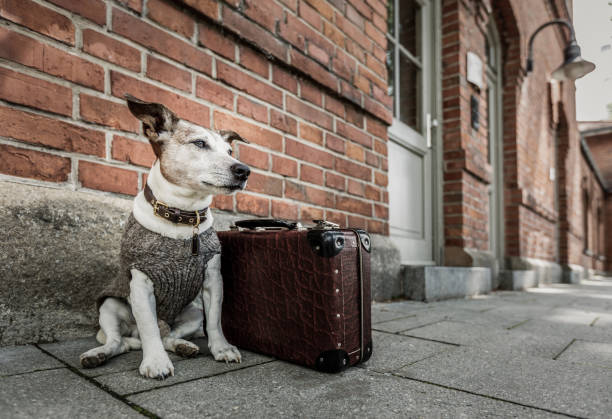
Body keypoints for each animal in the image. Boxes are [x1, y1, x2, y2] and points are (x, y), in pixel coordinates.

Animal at [79, 95, 251, 380]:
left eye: (229, 151)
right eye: (199, 143)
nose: (244, 170)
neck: (183, 216)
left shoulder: (213, 280)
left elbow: (215, 321)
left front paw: (222, 349)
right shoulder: (139, 284)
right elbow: (149, 328)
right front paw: (156, 362)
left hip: (193, 313)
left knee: (168, 336)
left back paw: (183, 346)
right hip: (110, 307)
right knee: (120, 341)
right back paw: (98, 355)